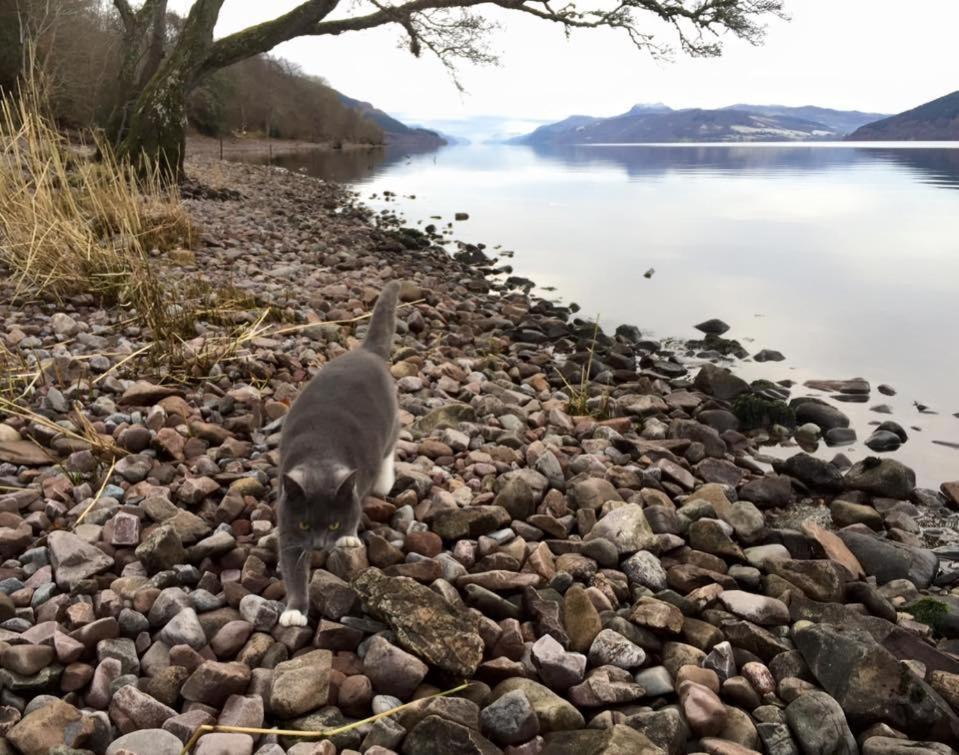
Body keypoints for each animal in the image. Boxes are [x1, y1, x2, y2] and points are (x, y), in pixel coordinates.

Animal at [278, 280, 402, 628]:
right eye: (306, 525)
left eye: (334, 525)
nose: (320, 546)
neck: (320, 455)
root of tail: (365, 351)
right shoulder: (287, 522)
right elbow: (292, 568)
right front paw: (295, 610)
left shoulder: (356, 486)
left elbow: (356, 508)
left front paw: (348, 537)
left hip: (391, 420)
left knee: (391, 446)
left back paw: (386, 480)